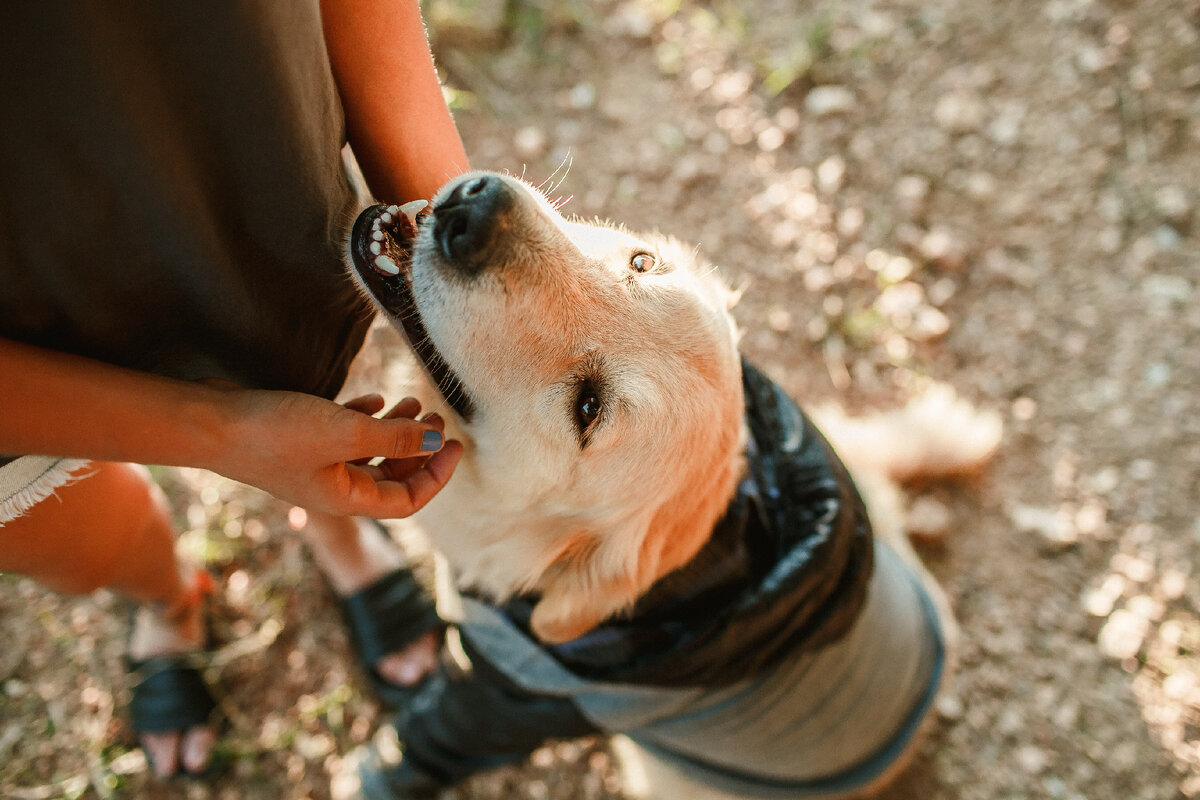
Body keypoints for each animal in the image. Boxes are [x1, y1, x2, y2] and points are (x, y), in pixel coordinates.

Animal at [343, 172, 998, 796]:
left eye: (588, 408)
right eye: (643, 262)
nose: (477, 209)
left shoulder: (509, 696)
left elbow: (432, 737)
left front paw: (376, 775)